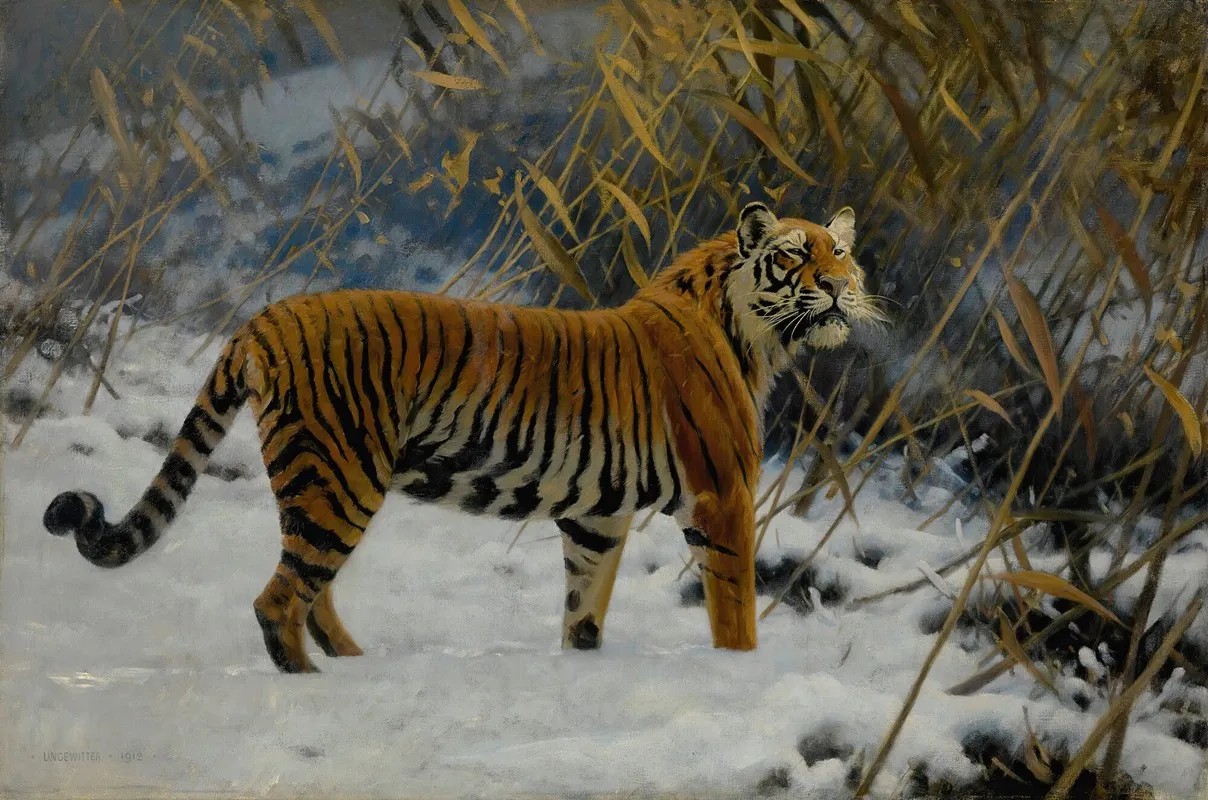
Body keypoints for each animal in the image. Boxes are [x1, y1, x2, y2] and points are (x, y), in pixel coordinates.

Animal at [42, 201, 884, 674]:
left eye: (842, 251)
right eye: (796, 254)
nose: (840, 286)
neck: (756, 334)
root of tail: (266, 316)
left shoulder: (596, 516)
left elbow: (584, 608)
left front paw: (582, 667)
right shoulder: (723, 495)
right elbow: (734, 612)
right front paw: (740, 673)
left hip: (319, 481)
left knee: (309, 588)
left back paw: (354, 665)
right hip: (341, 476)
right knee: (279, 599)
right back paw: (313, 683)